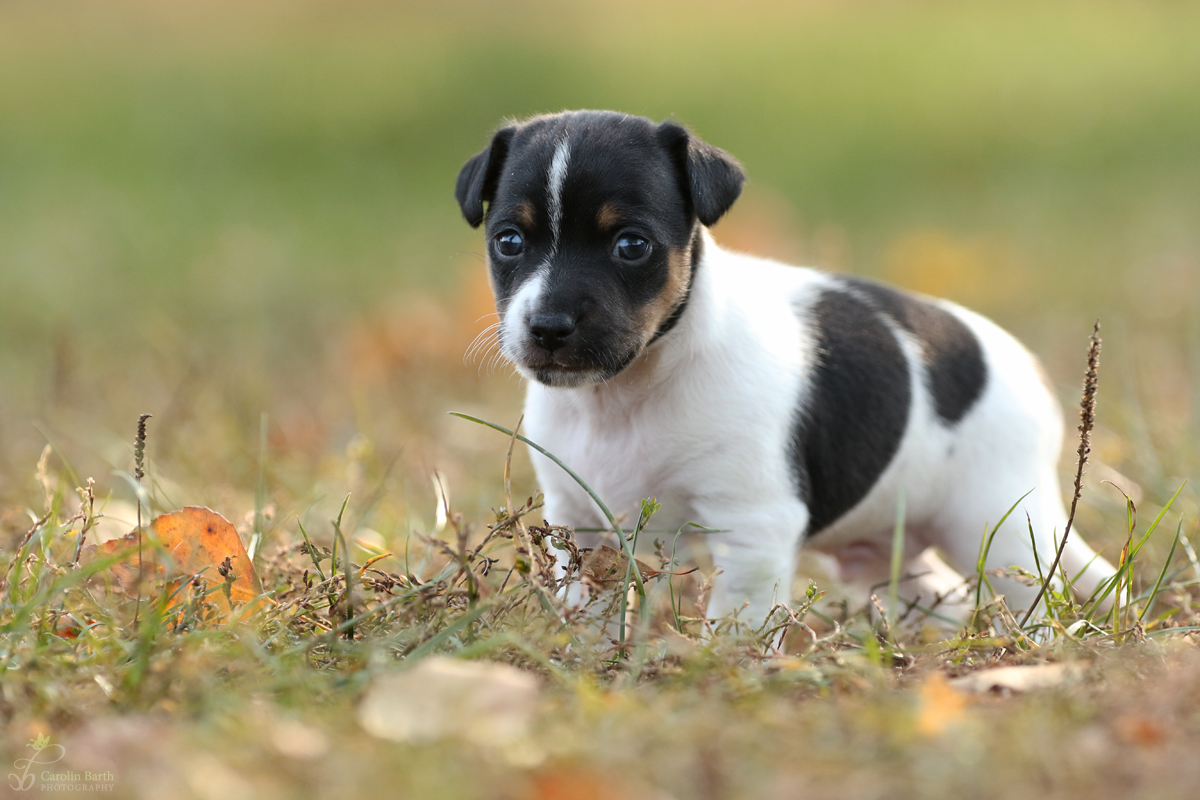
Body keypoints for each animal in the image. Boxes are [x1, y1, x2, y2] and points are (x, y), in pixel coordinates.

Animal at [456, 110, 1113, 623]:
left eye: (631, 245)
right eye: (509, 241)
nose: (548, 327)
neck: (626, 395)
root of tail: (1022, 363)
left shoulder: (753, 526)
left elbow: (738, 624)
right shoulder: (578, 527)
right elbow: (587, 606)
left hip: (998, 529)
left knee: (1044, 599)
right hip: (893, 559)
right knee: (945, 599)